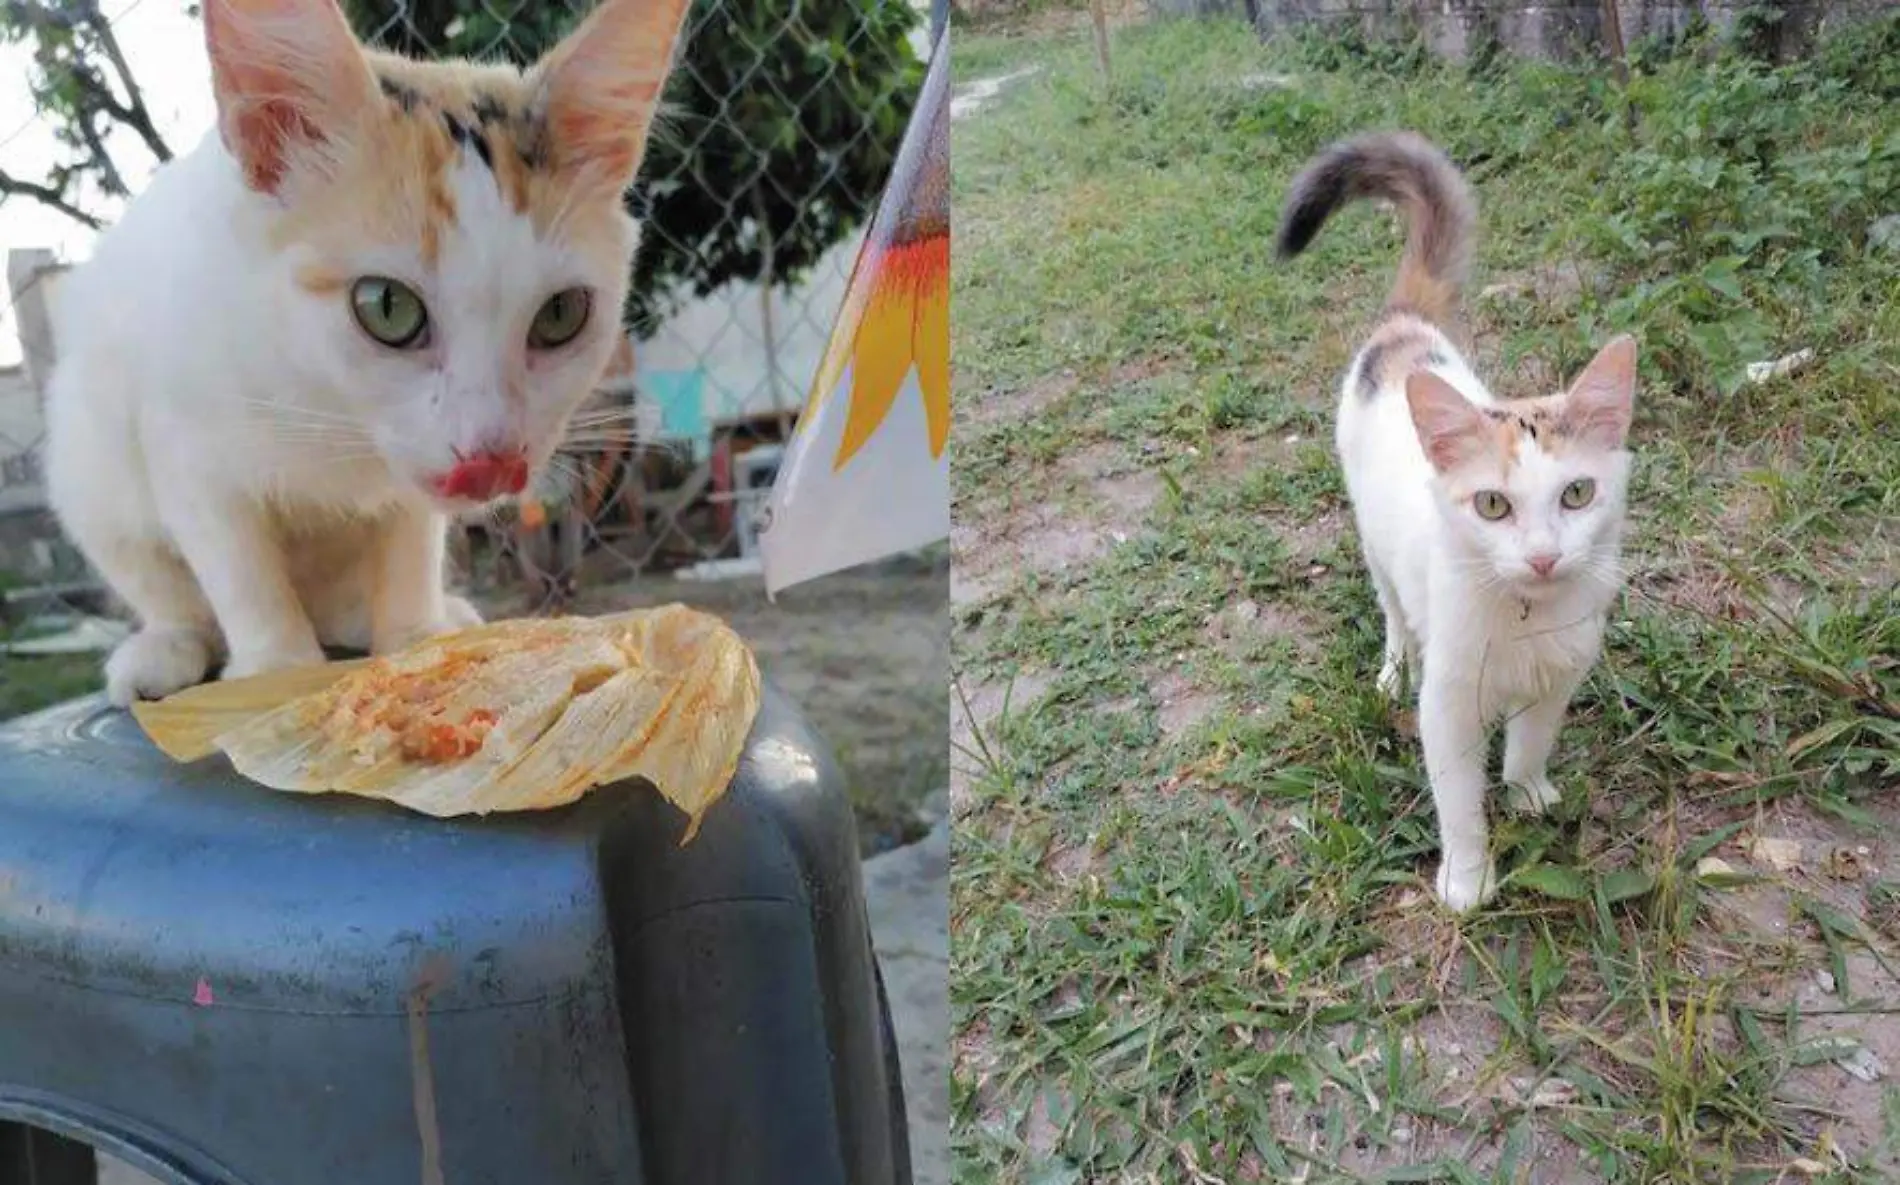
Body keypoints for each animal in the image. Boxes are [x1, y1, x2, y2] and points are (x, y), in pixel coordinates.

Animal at [42, 0, 691, 702]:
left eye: (561, 315)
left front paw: (414, 635)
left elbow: (411, 541)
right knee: (157, 577)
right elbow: (237, 561)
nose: (493, 459)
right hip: (86, 468)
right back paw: (167, 647)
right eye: (387, 307)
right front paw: (276, 666)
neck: (327, 404)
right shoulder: (183, 437)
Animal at [1284, 133, 1641, 915]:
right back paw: (1393, 668)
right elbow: (1459, 802)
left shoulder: (1558, 677)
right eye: (1493, 505)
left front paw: (1528, 792)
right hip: (1376, 550)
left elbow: (1529, 743)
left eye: (1577, 494)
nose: (1542, 557)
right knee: (1392, 613)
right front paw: (1469, 879)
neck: (1525, 620)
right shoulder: (1447, 707)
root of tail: (1405, 330)